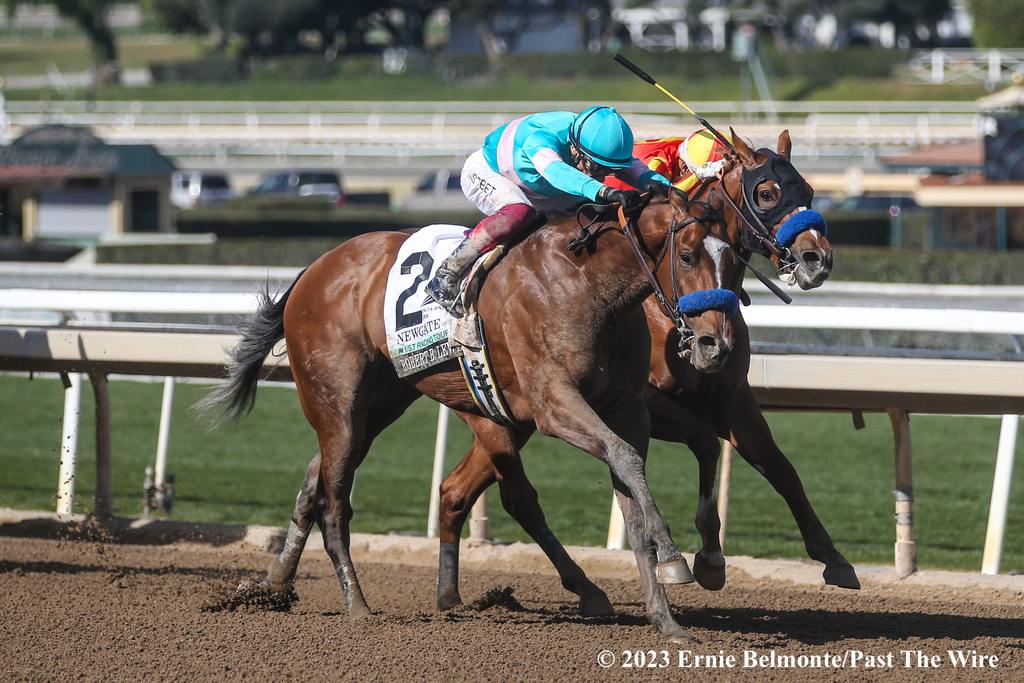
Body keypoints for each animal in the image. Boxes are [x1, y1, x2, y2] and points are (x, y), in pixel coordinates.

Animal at [201, 191, 745, 643]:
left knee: (318, 482)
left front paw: (667, 618)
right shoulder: (553, 404)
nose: (715, 345)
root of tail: (312, 270)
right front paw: (676, 560)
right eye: (688, 255)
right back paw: (356, 603)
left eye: (735, 260)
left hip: (377, 408)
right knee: (335, 503)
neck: (585, 284)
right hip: (339, 405)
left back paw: (274, 585)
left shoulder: (627, 409)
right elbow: (626, 460)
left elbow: (634, 488)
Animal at [432, 126, 856, 618]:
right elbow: (706, 442)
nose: (817, 258)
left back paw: (452, 592)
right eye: (766, 193)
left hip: (515, 418)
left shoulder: (732, 396)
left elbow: (779, 466)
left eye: (807, 190)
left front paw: (833, 558)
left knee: (456, 491)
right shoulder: (648, 401)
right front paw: (706, 559)